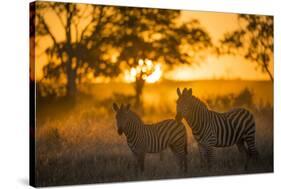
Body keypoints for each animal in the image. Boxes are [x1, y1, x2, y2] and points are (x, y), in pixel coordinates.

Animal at [111, 88, 258, 172]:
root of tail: (245, 109)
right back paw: (245, 169)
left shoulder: (210, 143)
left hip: (249, 136)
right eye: (177, 103)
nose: (119, 131)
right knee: (246, 153)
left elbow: (210, 162)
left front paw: (210, 173)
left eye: (186, 104)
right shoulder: (200, 144)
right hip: (239, 140)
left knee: (254, 153)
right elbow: (203, 162)